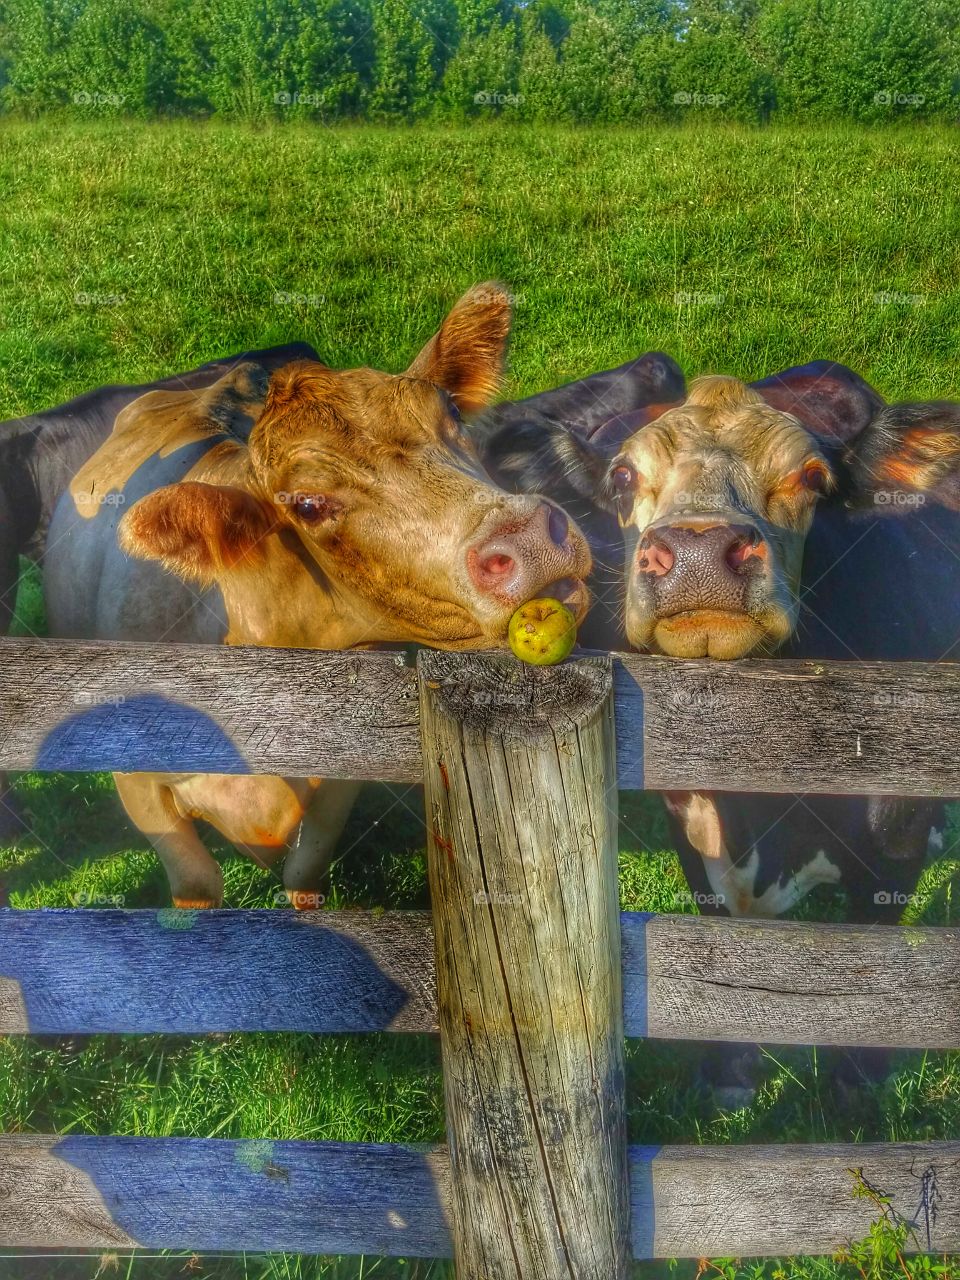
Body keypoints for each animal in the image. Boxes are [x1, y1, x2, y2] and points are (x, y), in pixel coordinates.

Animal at [42, 284, 594, 908]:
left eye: (452, 416)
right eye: (306, 504)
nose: (528, 538)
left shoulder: (340, 783)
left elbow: (306, 873)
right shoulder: (138, 786)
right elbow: (196, 888)